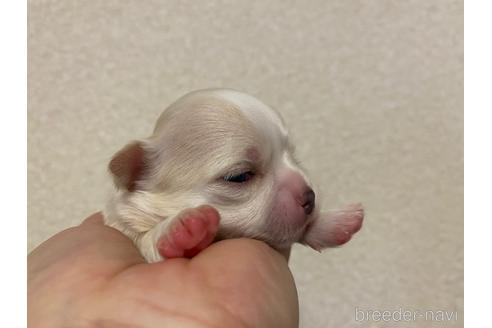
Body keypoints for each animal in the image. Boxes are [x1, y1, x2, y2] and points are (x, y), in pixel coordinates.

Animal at [104, 88, 364, 262]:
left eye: (293, 156)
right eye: (239, 176)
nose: (310, 197)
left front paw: (335, 221)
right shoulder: (127, 230)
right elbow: (149, 242)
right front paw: (180, 229)